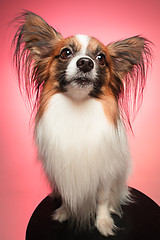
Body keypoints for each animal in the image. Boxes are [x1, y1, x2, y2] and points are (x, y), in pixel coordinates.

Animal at [11, 10, 152, 236]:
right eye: (66, 53)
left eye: (101, 58)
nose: (85, 63)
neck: (78, 106)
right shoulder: (62, 172)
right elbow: (68, 196)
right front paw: (64, 212)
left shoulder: (105, 173)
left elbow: (102, 199)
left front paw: (103, 222)